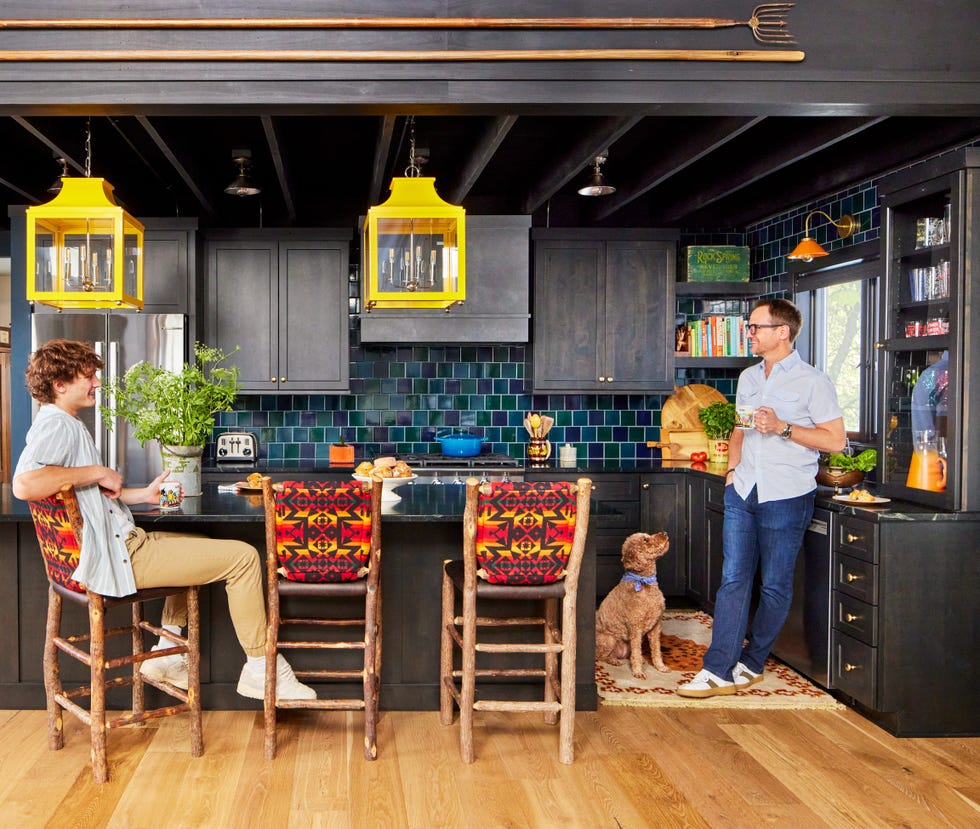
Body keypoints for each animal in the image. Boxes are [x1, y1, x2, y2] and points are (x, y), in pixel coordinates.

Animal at [592, 532, 668, 676]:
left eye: (647, 536)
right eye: (645, 540)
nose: (665, 533)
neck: (644, 581)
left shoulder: (656, 626)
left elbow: (656, 650)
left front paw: (660, 667)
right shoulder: (635, 628)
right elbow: (637, 653)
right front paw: (638, 672)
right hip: (609, 640)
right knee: (601, 656)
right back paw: (614, 661)